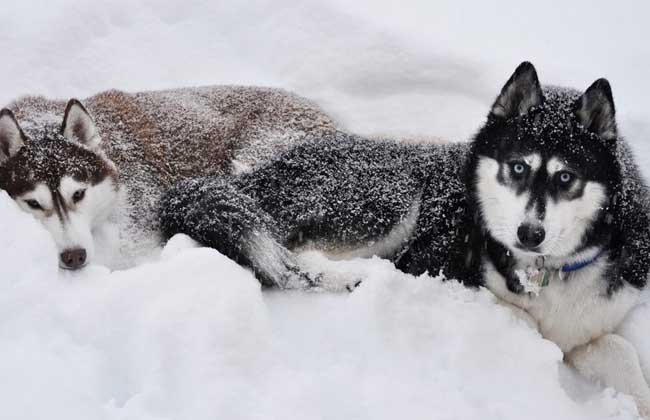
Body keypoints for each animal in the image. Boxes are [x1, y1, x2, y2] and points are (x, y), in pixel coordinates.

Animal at [159, 63, 648, 416]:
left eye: (566, 177)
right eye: (518, 167)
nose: (530, 234)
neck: (547, 272)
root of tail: (254, 176)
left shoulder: (597, 321)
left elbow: (620, 351)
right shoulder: (449, 274)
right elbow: (523, 323)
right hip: (390, 198)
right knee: (292, 257)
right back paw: (349, 277)